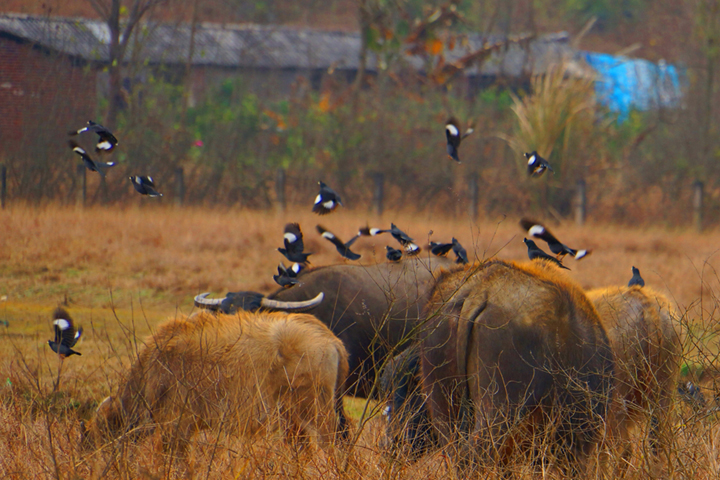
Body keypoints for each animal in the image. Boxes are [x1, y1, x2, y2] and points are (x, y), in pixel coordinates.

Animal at [83, 310, 350, 452]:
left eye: (97, 436)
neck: (153, 370)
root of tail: (329, 338)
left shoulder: (177, 427)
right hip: (293, 420)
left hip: (316, 413)